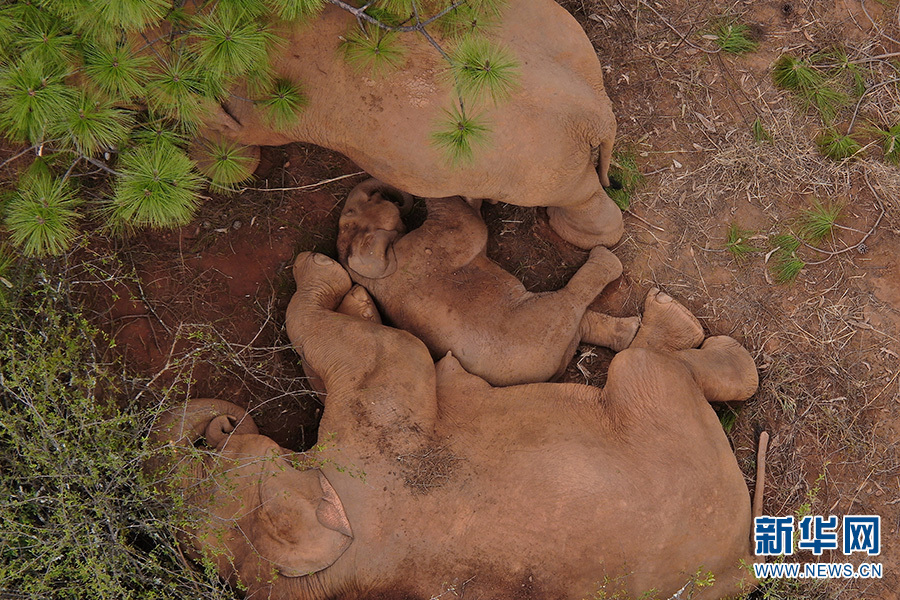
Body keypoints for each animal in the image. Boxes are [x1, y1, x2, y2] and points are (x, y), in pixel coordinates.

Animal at [149, 252, 768, 600]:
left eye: (212, 456)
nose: (222, 423)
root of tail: (742, 566)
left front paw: (350, 290)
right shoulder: (377, 418)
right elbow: (385, 346)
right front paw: (334, 279)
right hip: (656, 403)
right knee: (655, 366)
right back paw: (672, 322)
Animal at [338, 178, 640, 386]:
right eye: (349, 217)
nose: (386, 194)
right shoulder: (430, 249)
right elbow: (469, 224)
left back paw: (629, 332)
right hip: (542, 322)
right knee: (572, 301)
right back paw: (607, 263)